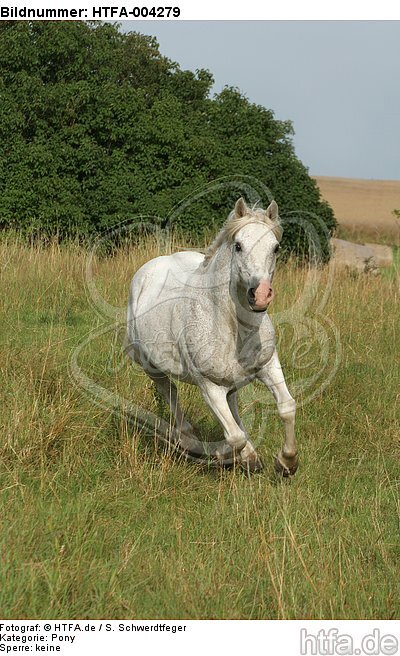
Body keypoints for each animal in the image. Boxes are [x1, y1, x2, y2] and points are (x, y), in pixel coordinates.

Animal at [125, 197, 298, 475]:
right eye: (238, 246)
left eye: (276, 247)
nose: (260, 295)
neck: (233, 327)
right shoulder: (209, 387)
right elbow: (235, 437)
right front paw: (240, 458)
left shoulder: (269, 365)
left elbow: (287, 408)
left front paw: (287, 462)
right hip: (152, 368)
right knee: (170, 393)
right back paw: (191, 442)